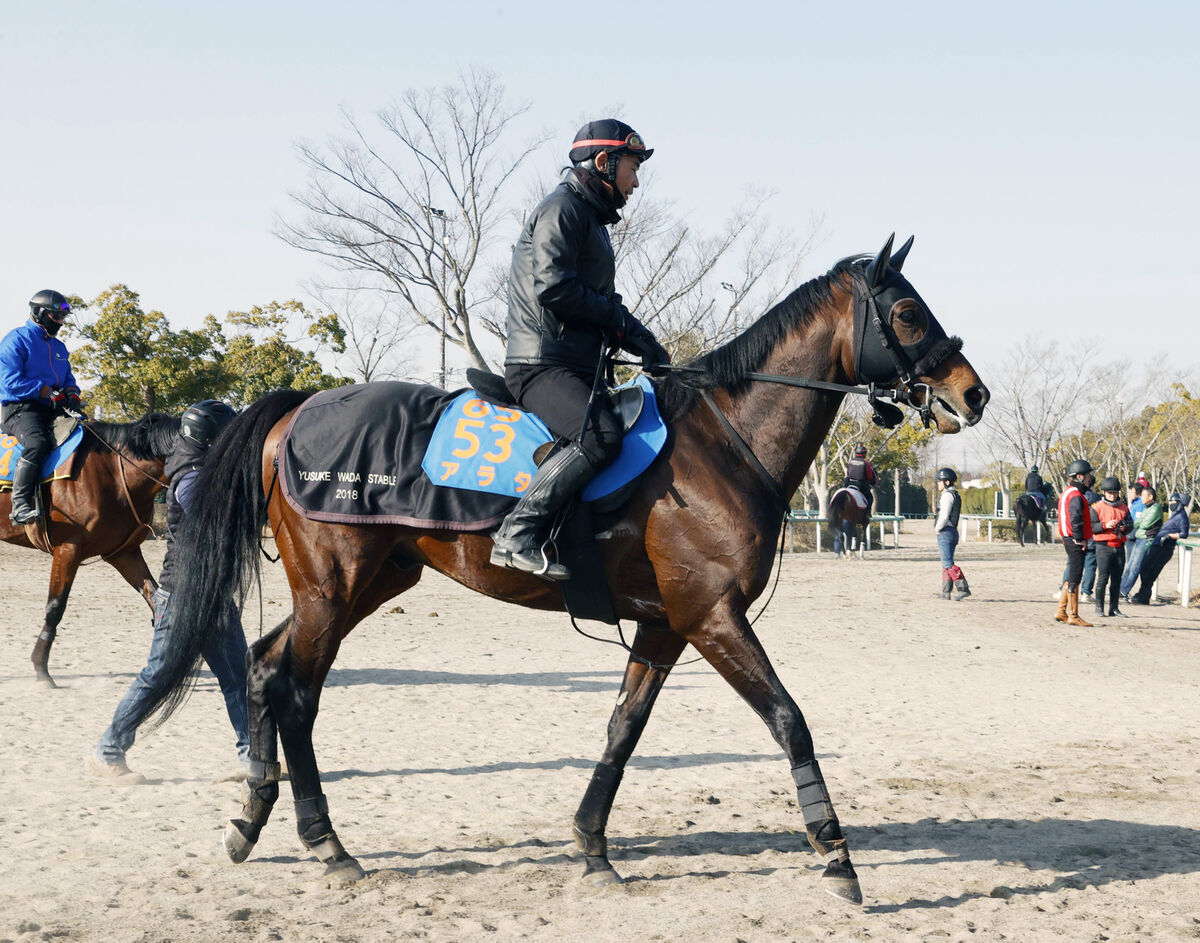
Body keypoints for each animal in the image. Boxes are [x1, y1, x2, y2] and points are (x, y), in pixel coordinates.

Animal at [0, 412, 178, 681]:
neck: (114, 471)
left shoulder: (124, 554)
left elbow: (154, 597)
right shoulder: (68, 549)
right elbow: (55, 607)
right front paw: (41, 668)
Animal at [133, 235, 993, 902]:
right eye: (907, 313)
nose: (973, 392)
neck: (722, 441)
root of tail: (299, 408)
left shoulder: (665, 625)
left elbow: (622, 729)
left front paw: (591, 846)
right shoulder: (713, 616)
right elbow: (789, 718)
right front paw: (836, 853)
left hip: (365, 585)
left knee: (263, 665)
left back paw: (251, 819)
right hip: (333, 589)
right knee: (295, 690)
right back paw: (326, 843)